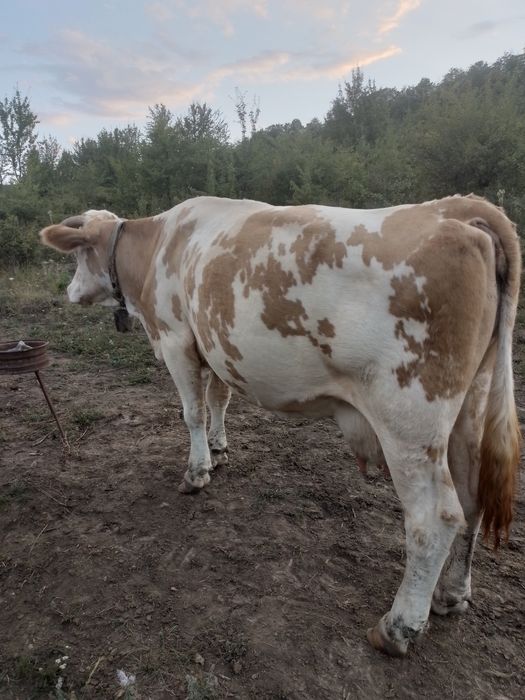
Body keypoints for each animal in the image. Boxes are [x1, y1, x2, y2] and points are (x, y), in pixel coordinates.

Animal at [40, 194, 521, 657]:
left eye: (78, 254)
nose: (69, 291)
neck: (160, 244)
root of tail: (454, 208)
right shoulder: (214, 346)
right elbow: (218, 399)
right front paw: (219, 449)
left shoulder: (177, 340)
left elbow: (192, 411)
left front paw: (197, 472)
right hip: (469, 407)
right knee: (472, 498)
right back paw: (451, 593)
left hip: (409, 418)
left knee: (434, 517)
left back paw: (398, 627)